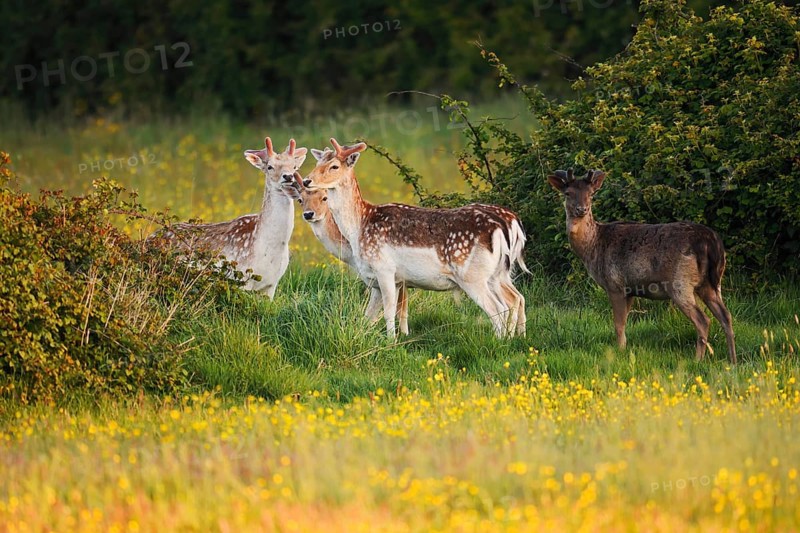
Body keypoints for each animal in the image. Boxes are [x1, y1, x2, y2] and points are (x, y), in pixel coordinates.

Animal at [151, 137, 307, 298]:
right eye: (269, 166)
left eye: (295, 167)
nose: (288, 176)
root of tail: (149, 238)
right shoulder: (242, 277)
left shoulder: (271, 285)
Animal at [301, 138, 529, 339]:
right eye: (318, 162)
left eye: (334, 166)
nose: (306, 180)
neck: (359, 229)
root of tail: (505, 224)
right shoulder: (379, 280)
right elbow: (370, 315)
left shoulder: (385, 269)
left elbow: (389, 312)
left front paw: (391, 343)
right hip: (498, 273)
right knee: (515, 298)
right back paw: (515, 339)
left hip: (472, 275)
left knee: (498, 308)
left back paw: (499, 342)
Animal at [547, 168, 736, 363]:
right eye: (568, 193)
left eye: (591, 194)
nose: (581, 209)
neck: (592, 247)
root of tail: (711, 242)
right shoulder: (631, 290)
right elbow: (624, 323)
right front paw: (624, 349)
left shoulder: (615, 284)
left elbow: (618, 324)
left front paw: (620, 352)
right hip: (712, 282)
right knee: (726, 316)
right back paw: (733, 360)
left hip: (679, 282)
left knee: (704, 320)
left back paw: (697, 359)